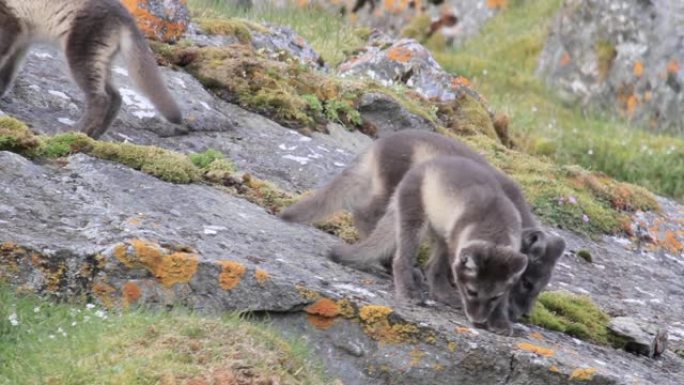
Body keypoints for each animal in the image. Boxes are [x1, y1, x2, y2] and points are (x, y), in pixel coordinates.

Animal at [0, 0, 182, 138]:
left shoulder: (10, 24)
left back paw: (75, 131)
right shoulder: (22, 40)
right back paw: (95, 134)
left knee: (100, 99)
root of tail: (125, 16)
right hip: (101, 58)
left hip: (81, 52)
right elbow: (7, 75)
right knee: (115, 96)